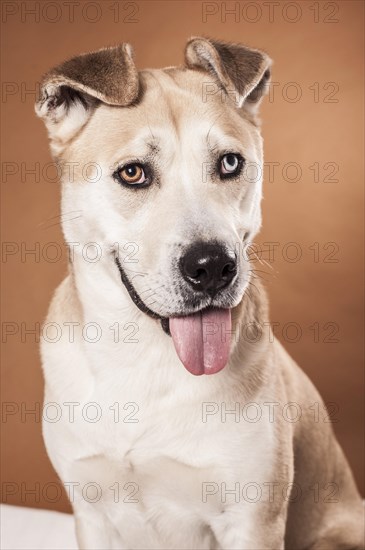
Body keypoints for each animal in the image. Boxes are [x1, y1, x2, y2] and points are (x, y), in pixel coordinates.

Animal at [35, 38, 362, 550]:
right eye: (133, 173)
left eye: (229, 162)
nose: (212, 269)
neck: (145, 359)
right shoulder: (91, 514)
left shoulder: (252, 520)